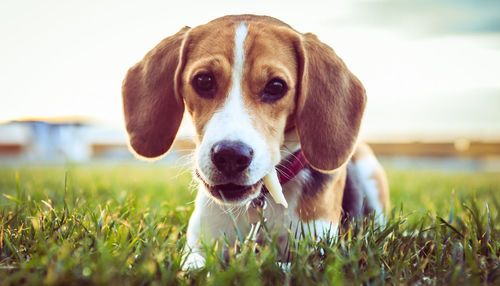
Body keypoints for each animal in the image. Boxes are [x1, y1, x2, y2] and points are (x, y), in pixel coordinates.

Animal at [122, 14, 390, 270]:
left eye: (276, 86)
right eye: (203, 80)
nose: (230, 155)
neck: (259, 203)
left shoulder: (318, 252)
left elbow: (282, 266)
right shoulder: (198, 245)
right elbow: (192, 267)